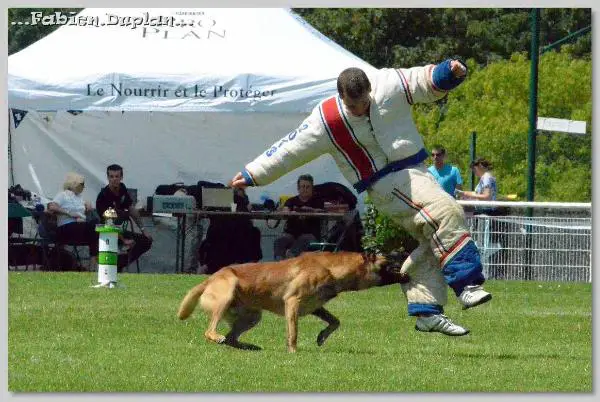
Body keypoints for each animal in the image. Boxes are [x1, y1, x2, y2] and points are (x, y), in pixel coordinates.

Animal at [176, 251, 406, 352]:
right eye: (388, 265)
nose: (405, 275)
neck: (332, 269)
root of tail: (210, 278)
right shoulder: (292, 303)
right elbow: (293, 333)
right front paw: (293, 352)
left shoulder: (316, 307)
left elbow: (335, 321)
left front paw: (321, 337)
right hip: (227, 294)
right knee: (211, 332)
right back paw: (218, 337)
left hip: (252, 317)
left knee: (232, 339)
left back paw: (249, 346)